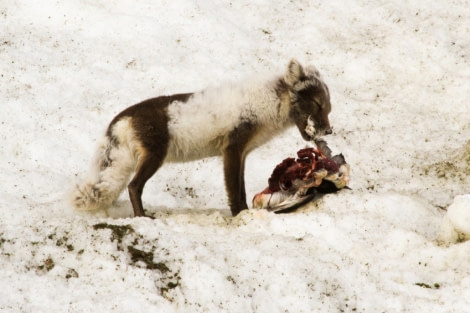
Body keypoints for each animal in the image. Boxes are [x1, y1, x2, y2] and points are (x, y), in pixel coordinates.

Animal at [71, 58, 332, 216]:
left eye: (328, 108)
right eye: (318, 104)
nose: (329, 132)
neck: (267, 103)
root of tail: (122, 118)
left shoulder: (242, 154)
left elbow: (241, 189)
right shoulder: (232, 148)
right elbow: (234, 192)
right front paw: (239, 215)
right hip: (155, 156)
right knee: (134, 186)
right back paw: (142, 217)